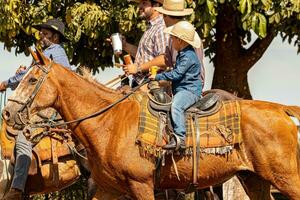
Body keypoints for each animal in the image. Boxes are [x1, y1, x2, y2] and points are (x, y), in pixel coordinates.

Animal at [2, 49, 300, 199]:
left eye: (31, 79)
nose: (7, 113)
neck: (110, 123)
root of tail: (282, 110)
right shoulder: (108, 189)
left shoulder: (141, 185)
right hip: (255, 180)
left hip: (286, 178)